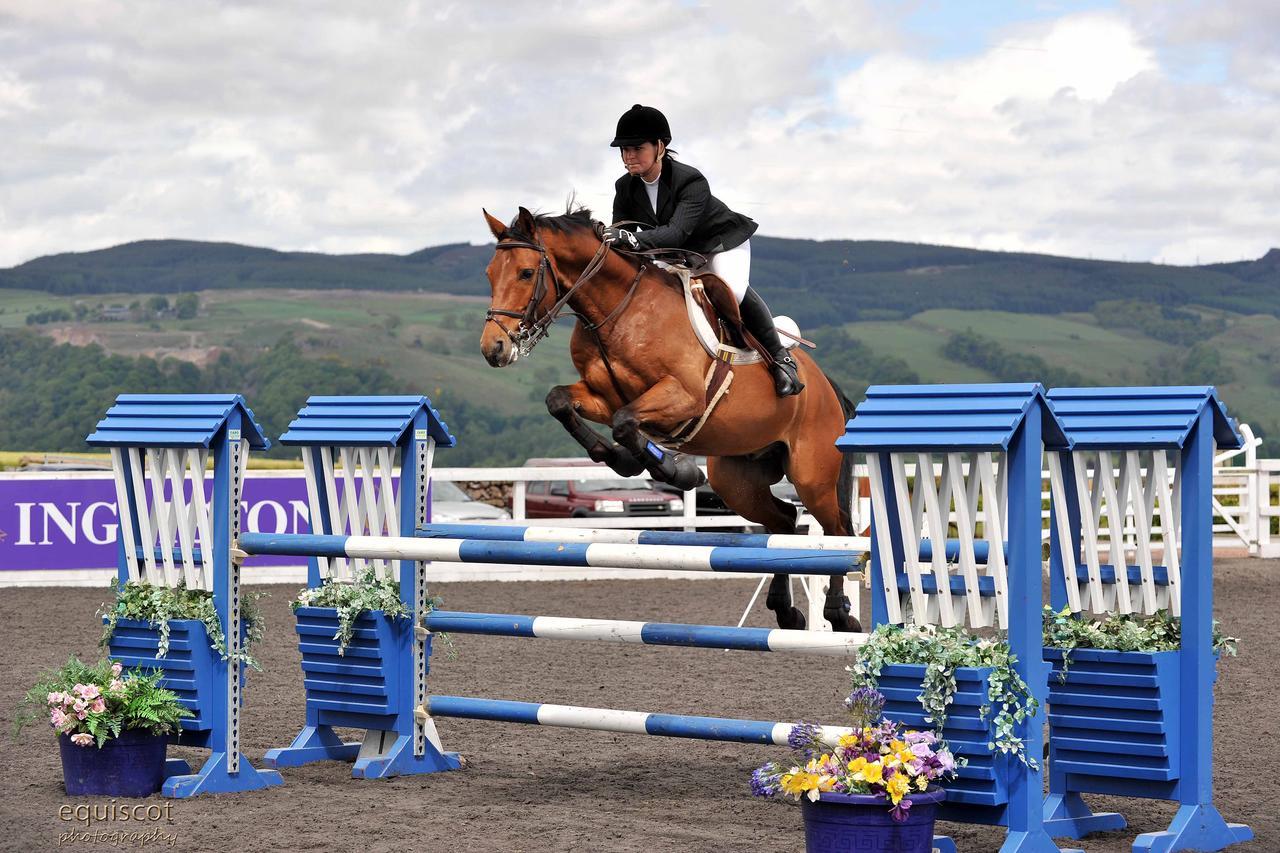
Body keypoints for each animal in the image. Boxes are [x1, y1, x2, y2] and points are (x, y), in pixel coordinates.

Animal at [481, 206, 860, 630]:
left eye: (526, 272)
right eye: (490, 274)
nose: (493, 349)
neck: (618, 310)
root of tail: (826, 386)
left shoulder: (682, 396)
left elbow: (625, 422)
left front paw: (677, 471)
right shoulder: (602, 396)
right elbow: (561, 403)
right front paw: (625, 461)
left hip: (812, 476)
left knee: (837, 530)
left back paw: (839, 616)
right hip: (738, 480)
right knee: (783, 521)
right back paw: (786, 610)